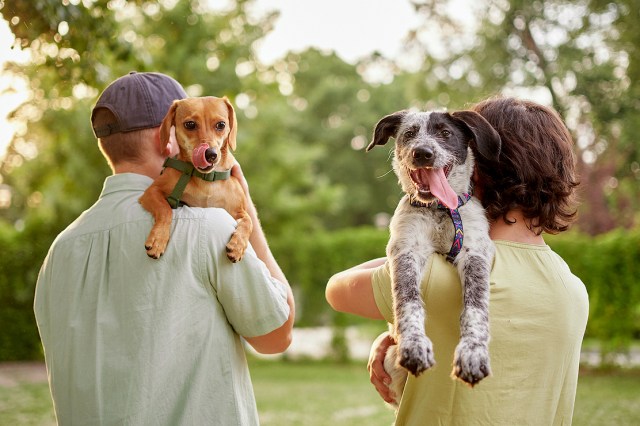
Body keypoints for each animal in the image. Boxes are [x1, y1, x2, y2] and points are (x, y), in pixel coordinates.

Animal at [139, 96, 251, 262]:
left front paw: (238, 245)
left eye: (221, 125)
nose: (210, 154)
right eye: (190, 124)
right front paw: (158, 239)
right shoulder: (152, 192)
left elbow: (248, 221)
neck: (206, 179)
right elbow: (165, 210)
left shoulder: (238, 210)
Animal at [368, 108, 502, 404]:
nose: (423, 153)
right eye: (409, 133)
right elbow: (408, 302)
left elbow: (476, 308)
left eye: (445, 133)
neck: (439, 210)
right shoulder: (406, 251)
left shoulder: (474, 252)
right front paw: (415, 346)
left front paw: (473, 354)